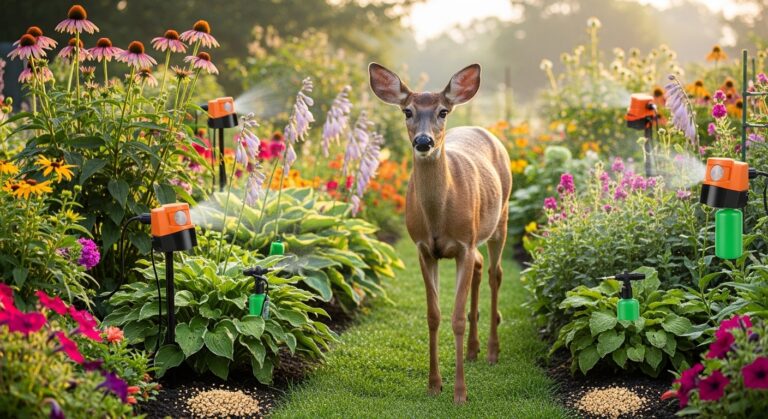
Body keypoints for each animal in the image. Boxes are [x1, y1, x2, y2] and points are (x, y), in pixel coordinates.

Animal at [369, 63, 512, 404]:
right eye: (407, 111)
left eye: (443, 111)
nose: (423, 141)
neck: (438, 217)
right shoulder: (424, 249)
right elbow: (433, 316)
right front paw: (434, 384)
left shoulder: (463, 245)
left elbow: (456, 319)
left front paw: (460, 393)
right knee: (479, 268)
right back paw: (473, 350)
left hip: (501, 217)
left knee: (495, 273)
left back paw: (491, 351)